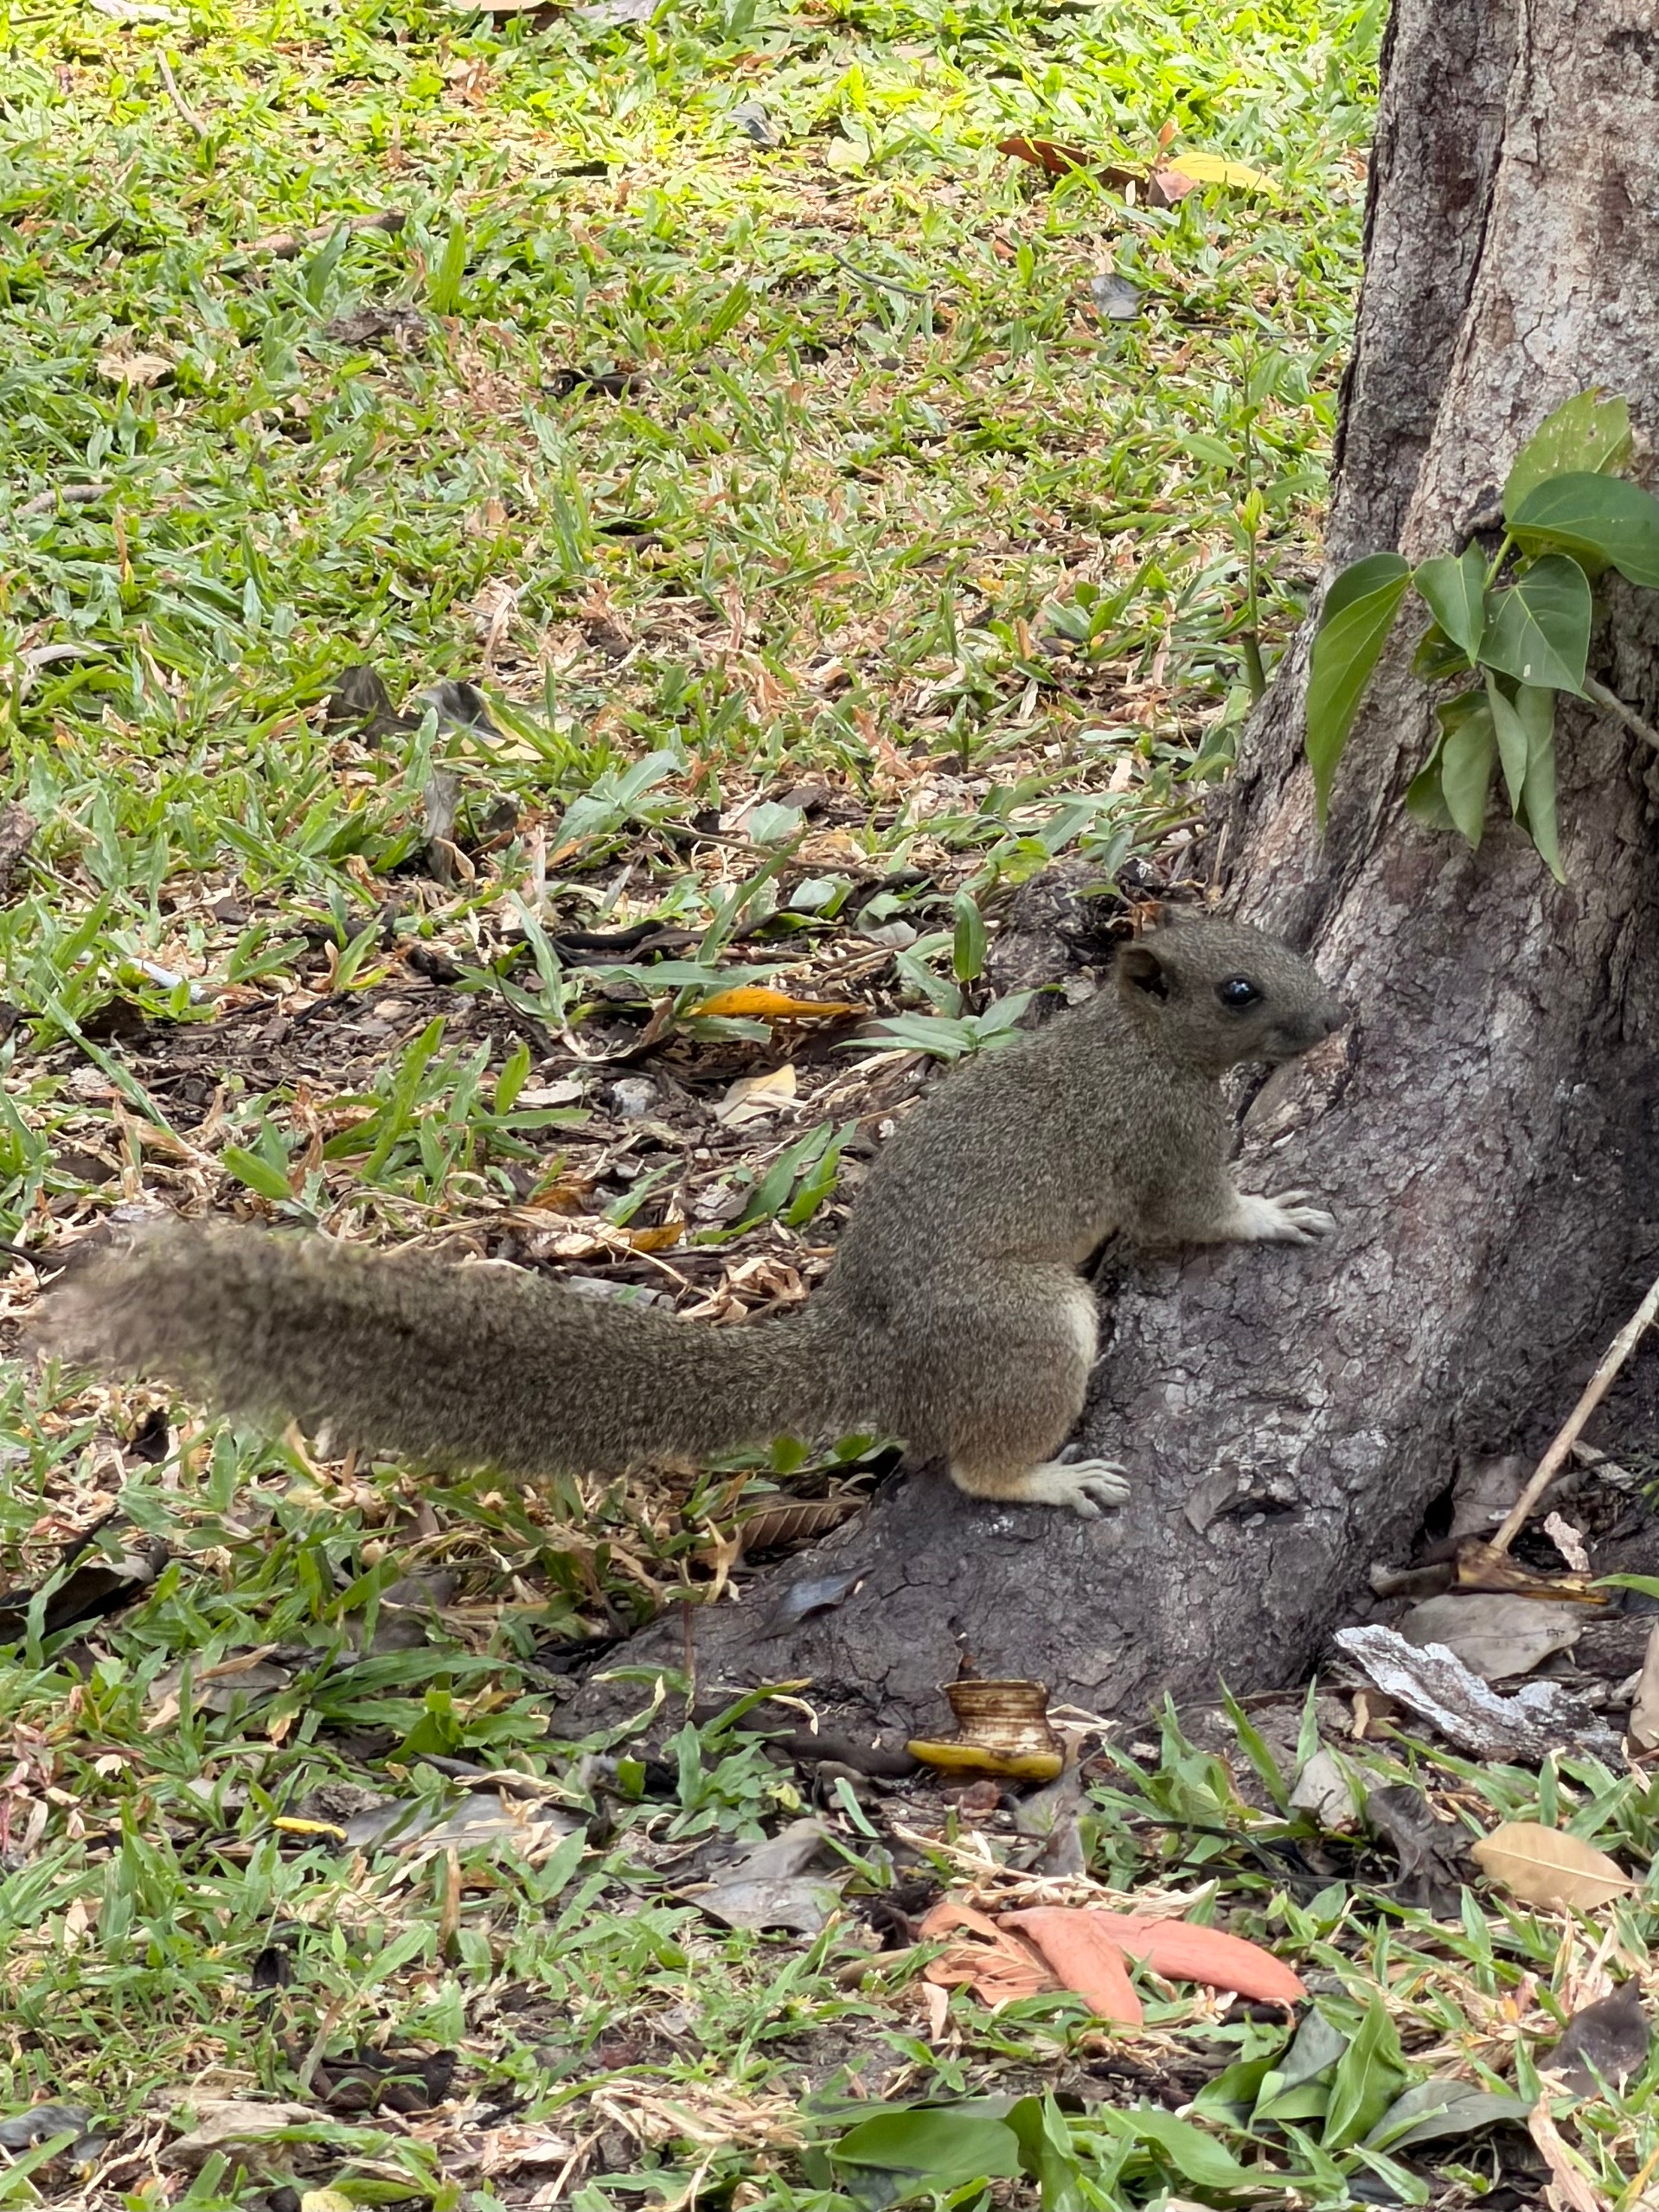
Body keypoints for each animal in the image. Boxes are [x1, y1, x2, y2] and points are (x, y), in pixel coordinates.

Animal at [38, 914, 1347, 1520]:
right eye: (1240, 989)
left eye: (1280, 947)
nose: (1336, 1017)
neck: (1134, 1042)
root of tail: (864, 1349)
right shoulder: (1160, 1141)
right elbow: (1193, 1214)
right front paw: (1273, 1214)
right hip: (1024, 1324)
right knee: (977, 1462)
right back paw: (1048, 1479)